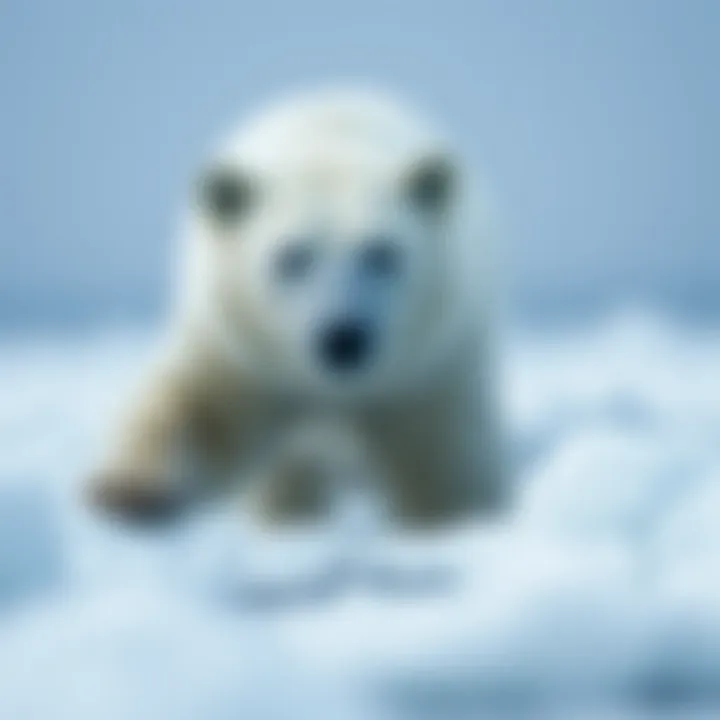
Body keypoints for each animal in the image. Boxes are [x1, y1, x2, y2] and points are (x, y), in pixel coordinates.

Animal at [86, 87, 507, 528]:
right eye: (292, 256)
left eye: (381, 252)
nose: (343, 338)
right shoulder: (240, 351)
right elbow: (202, 410)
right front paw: (128, 490)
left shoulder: (428, 367)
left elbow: (441, 457)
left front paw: (452, 521)